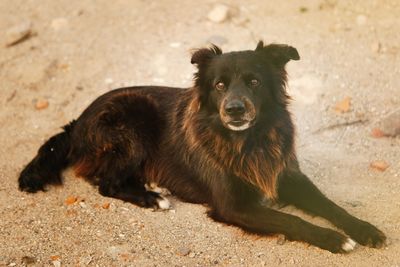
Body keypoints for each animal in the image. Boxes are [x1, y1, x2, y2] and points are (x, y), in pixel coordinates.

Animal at [19, 41, 388, 253]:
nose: (234, 109)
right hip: (132, 122)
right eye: (219, 85)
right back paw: (152, 196)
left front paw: (364, 229)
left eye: (254, 81)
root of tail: (77, 122)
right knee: (107, 183)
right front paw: (334, 240)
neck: (248, 140)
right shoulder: (233, 206)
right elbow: (291, 221)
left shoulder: (287, 176)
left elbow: (330, 205)